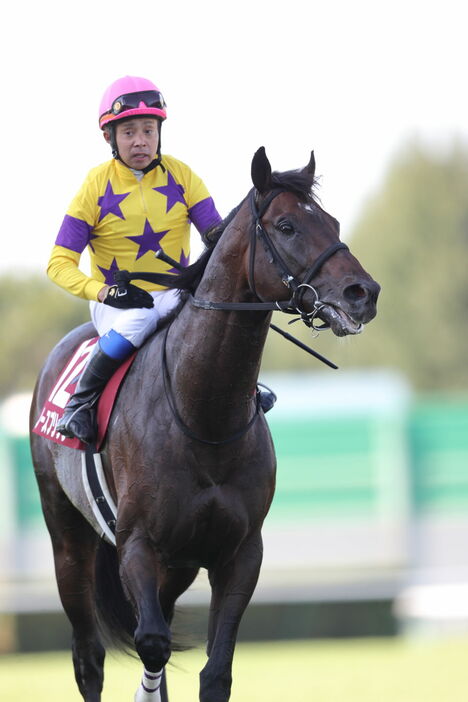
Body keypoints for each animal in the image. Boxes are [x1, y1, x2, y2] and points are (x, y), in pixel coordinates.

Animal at [28, 146, 380, 700]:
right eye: (286, 225)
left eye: (333, 222)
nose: (363, 292)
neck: (204, 416)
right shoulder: (137, 545)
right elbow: (152, 644)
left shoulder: (239, 553)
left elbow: (213, 671)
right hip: (68, 542)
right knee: (90, 659)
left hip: (178, 566)